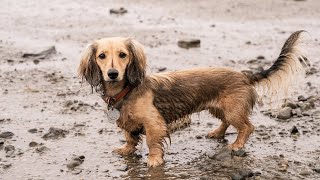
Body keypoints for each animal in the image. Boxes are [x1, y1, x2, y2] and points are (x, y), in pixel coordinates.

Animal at [77, 31, 308, 167]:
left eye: (123, 55)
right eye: (102, 56)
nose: (113, 73)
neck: (126, 91)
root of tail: (244, 75)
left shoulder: (154, 123)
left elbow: (152, 142)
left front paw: (154, 160)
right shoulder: (127, 122)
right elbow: (130, 137)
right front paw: (126, 149)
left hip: (234, 110)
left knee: (247, 127)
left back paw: (237, 145)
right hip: (219, 108)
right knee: (226, 122)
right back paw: (217, 133)